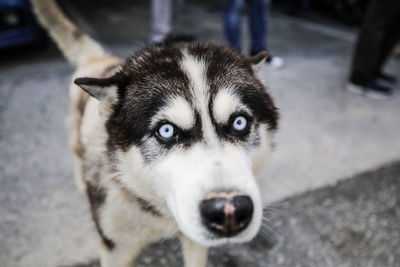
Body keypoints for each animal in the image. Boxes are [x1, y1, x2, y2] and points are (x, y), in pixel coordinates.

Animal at [30, 1, 278, 266]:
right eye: (166, 130)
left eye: (239, 122)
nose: (229, 212)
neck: (158, 211)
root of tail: (102, 60)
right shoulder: (115, 248)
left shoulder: (194, 240)